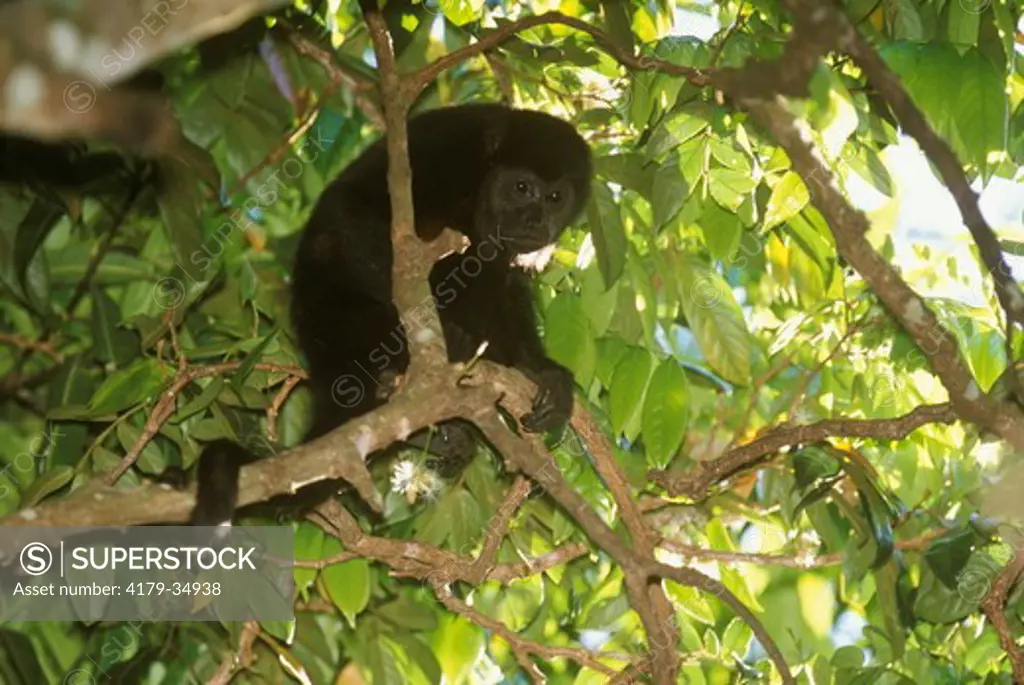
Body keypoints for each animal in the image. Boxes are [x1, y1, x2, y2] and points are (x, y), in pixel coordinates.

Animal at [190, 104, 593, 524]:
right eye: (521, 188)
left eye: (555, 197)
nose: (536, 219)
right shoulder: (445, 146)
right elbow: (353, 206)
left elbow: (507, 283)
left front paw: (541, 369)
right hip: (338, 321)